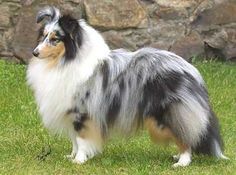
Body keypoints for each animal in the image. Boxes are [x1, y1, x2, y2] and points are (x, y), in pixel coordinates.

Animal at [26, 5, 228, 167]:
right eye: (43, 36)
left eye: (55, 39)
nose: (35, 53)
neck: (65, 61)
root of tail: (192, 71)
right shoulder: (69, 111)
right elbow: (75, 140)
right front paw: (72, 157)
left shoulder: (82, 112)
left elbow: (82, 139)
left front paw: (79, 160)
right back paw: (178, 156)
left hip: (168, 114)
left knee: (185, 136)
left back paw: (182, 162)